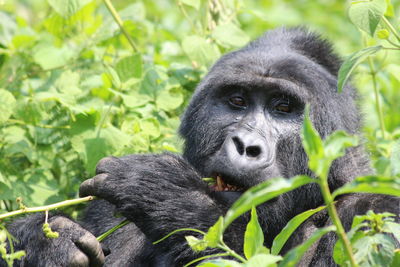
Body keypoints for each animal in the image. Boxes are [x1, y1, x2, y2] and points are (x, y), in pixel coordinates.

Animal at [1, 27, 398, 267]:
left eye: (283, 108)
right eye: (236, 101)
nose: (246, 145)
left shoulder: (377, 217)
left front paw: (163, 191)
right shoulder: (106, 213)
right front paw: (45, 242)